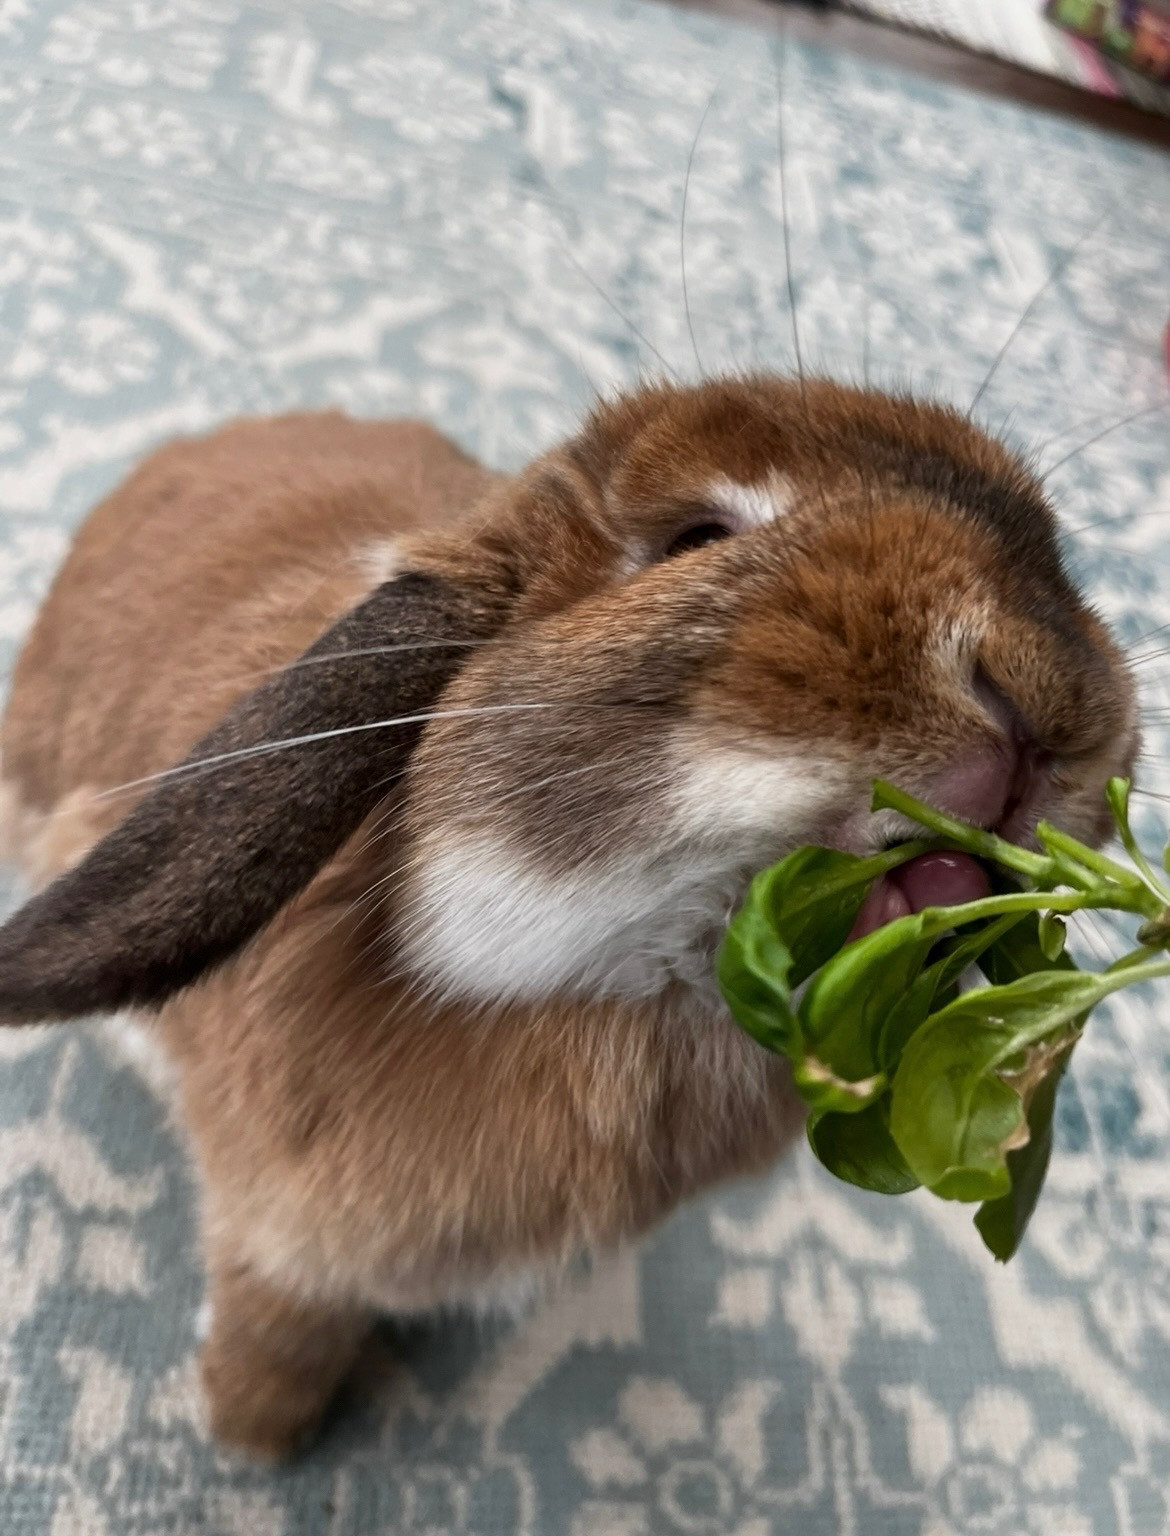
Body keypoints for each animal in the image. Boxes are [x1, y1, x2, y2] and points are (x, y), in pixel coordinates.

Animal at [0, 377, 1142, 1456]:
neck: (631, 990)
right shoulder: (282, 1249)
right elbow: (275, 1334)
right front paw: (251, 1438)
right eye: (697, 540)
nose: (1045, 695)